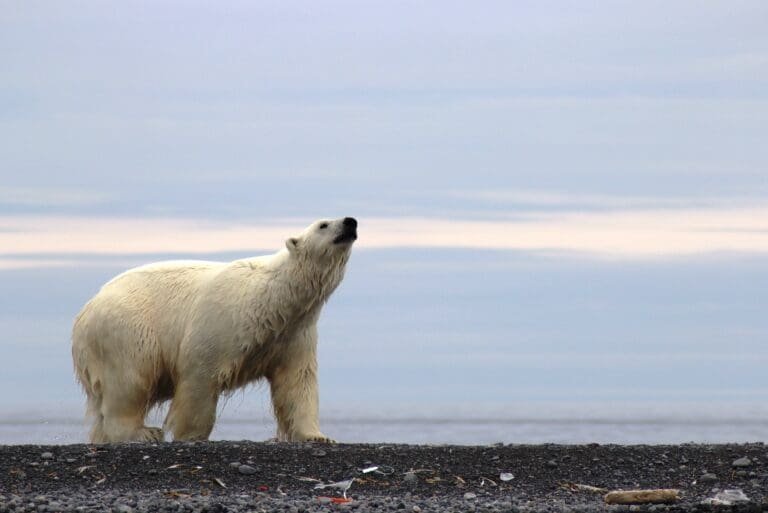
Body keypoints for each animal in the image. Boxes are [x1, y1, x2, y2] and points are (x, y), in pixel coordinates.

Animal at [71, 217, 357, 443]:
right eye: (323, 224)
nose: (351, 221)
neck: (273, 301)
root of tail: (85, 312)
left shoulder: (293, 334)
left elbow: (297, 382)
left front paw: (318, 436)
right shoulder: (221, 319)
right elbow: (200, 374)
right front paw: (191, 434)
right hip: (127, 330)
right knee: (130, 380)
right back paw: (143, 432)